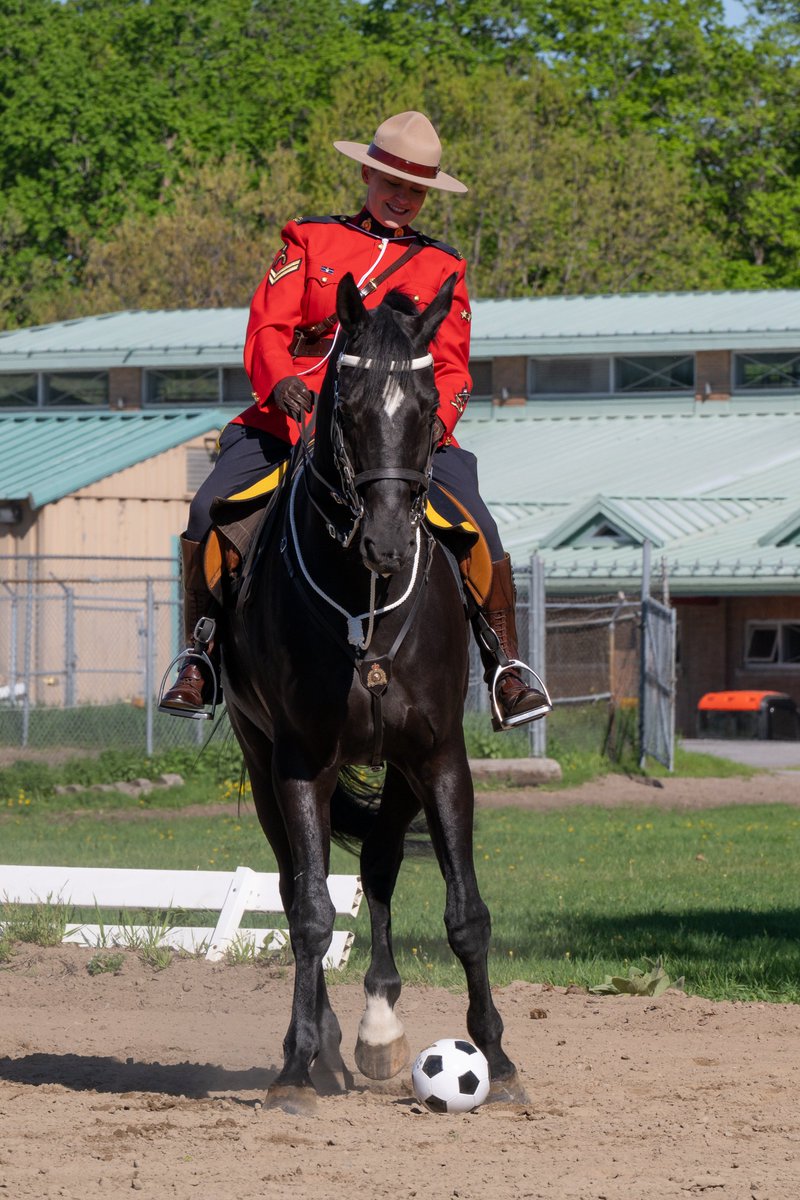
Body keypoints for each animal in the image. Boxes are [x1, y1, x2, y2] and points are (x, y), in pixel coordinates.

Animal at [220, 271, 525, 1113]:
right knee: (297, 886)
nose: (386, 541)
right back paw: (326, 1045)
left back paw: (380, 1027)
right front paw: (296, 1065)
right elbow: (310, 914)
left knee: (382, 862)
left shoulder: (438, 753)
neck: (367, 595)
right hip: (260, 760)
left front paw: (497, 1058)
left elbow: (466, 913)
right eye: (347, 405)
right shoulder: (299, 760)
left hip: (399, 765)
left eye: (425, 407)